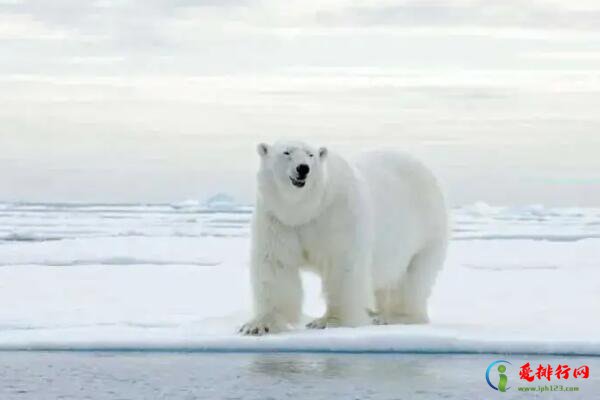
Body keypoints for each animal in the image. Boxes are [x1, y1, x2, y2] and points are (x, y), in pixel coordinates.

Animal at [239, 141, 446, 334]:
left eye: (310, 154)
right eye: (286, 152)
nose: (303, 168)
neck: (306, 210)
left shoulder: (338, 214)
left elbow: (342, 266)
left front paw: (329, 321)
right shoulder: (277, 221)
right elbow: (275, 264)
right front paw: (258, 325)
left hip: (425, 232)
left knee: (411, 279)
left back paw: (394, 316)